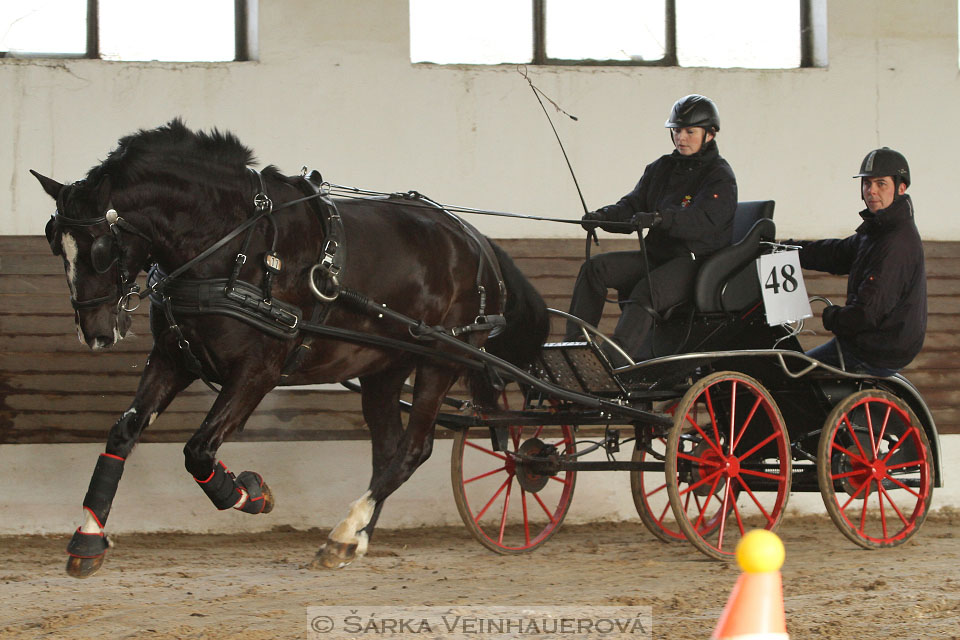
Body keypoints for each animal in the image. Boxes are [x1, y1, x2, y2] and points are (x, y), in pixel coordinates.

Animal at [33, 117, 548, 576]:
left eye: (102, 249)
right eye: (57, 244)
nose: (95, 332)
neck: (236, 245)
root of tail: (476, 240)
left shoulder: (258, 370)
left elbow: (199, 449)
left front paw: (249, 493)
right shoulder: (173, 358)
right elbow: (124, 432)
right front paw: (88, 538)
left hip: (441, 359)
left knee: (412, 449)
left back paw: (344, 533)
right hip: (384, 367)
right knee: (387, 449)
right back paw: (355, 538)